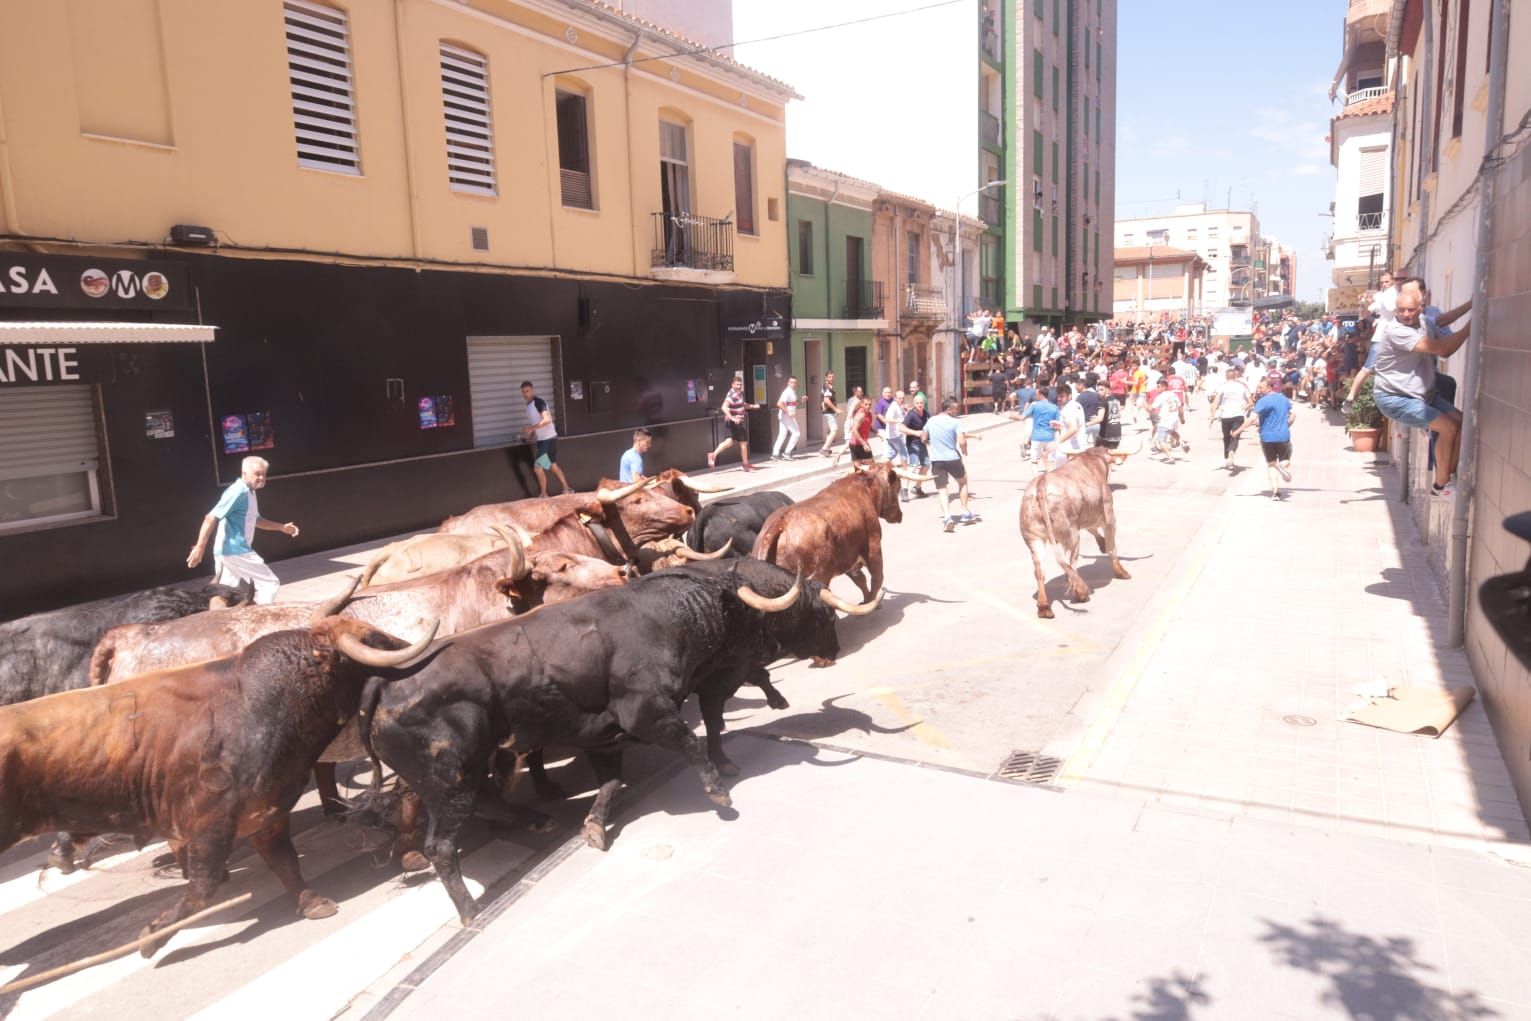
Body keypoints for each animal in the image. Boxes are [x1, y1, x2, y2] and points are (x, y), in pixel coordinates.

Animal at [0, 615, 431, 961]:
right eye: (375, 640)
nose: (414, 657)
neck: (259, 707)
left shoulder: (267, 814)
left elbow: (286, 863)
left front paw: (311, 902)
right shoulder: (212, 827)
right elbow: (201, 890)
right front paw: (151, 938)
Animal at [352, 560, 869, 924]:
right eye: (819, 612)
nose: (834, 650)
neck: (675, 614)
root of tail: (386, 680)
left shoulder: (604, 736)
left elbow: (613, 782)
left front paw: (594, 826)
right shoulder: (648, 711)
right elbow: (693, 742)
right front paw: (719, 791)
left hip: (459, 775)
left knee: (487, 801)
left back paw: (538, 819)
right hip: (450, 778)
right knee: (443, 845)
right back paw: (470, 911)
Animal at [750, 465, 918, 606]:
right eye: (898, 487)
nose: (900, 515)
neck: (867, 490)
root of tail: (780, 522)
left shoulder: (849, 558)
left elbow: (861, 580)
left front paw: (866, 601)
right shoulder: (873, 548)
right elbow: (876, 578)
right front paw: (871, 603)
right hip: (820, 575)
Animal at [1022, 443, 1132, 618]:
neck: (1093, 461)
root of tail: (1042, 483)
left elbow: (1093, 530)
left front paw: (1101, 544)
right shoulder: (1109, 517)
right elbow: (1111, 547)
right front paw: (1120, 571)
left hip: (1034, 538)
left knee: (1040, 569)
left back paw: (1044, 607)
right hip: (1071, 535)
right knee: (1071, 563)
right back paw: (1081, 594)